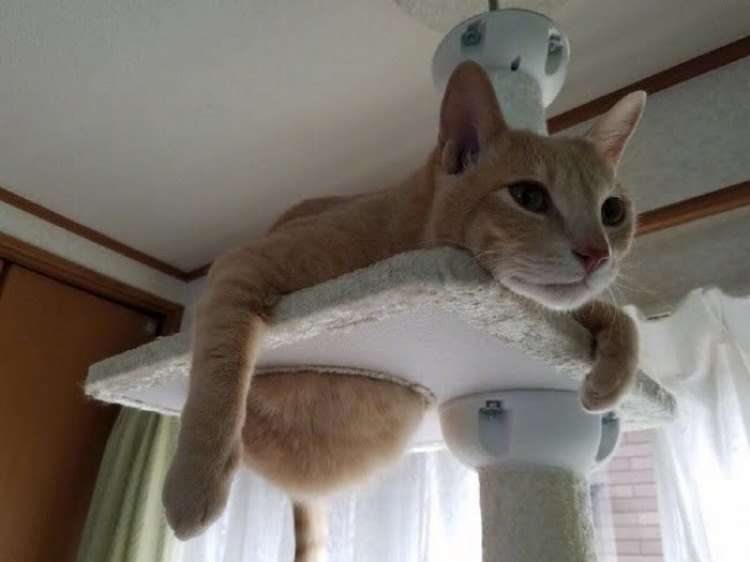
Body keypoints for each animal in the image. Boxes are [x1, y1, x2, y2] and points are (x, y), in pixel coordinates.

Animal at [163, 60, 646, 560]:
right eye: (529, 197)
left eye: (612, 211)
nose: (598, 254)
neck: (404, 233)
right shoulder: (241, 266)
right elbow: (220, 368)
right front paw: (194, 483)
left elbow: (608, 315)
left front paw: (612, 376)